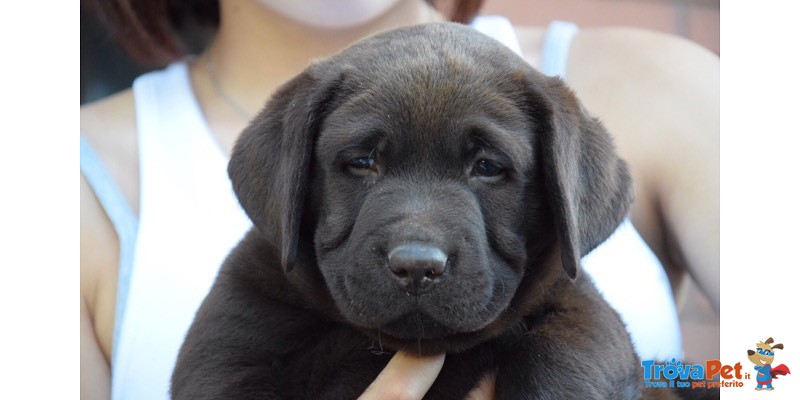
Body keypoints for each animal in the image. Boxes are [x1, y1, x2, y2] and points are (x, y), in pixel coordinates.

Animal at [173, 22, 668, 400]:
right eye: (362, 162)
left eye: (487, 167)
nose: (416, 267)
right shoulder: (231, 341)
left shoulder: (580, 310)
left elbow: (561, 360)